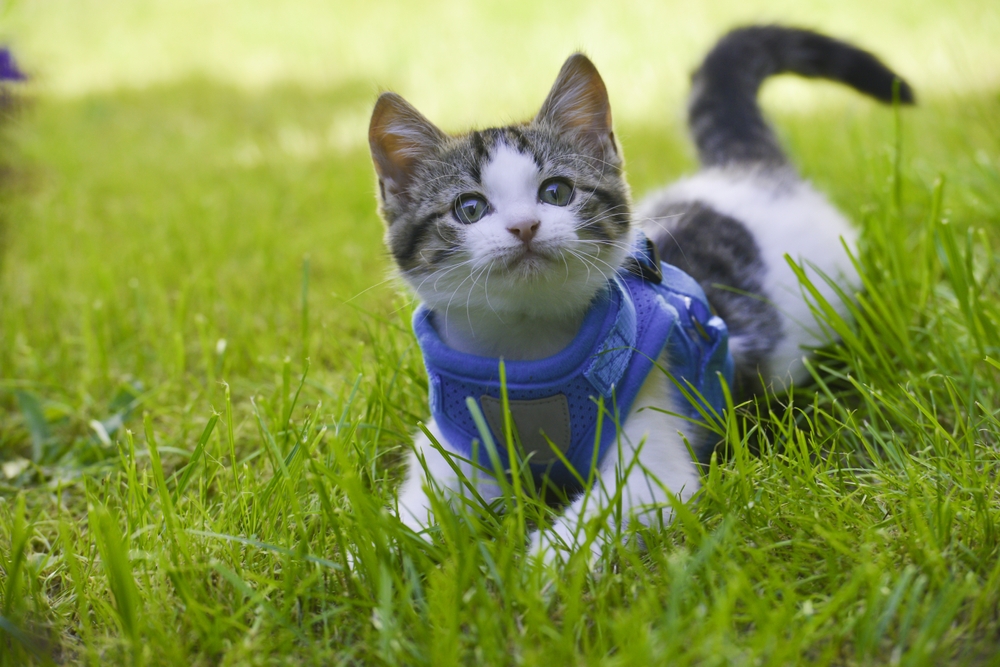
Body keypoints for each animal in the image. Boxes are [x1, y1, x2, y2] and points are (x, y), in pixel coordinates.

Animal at [368, 24, 916, 564]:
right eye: (469, 208)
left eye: (557, 192)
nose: (525, 226)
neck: (526, 353)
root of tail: (744, 172)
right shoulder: (452, 442)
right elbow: (426, 501)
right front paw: (380, 555)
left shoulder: (653, 448)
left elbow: (608, 511)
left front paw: (538, 570)